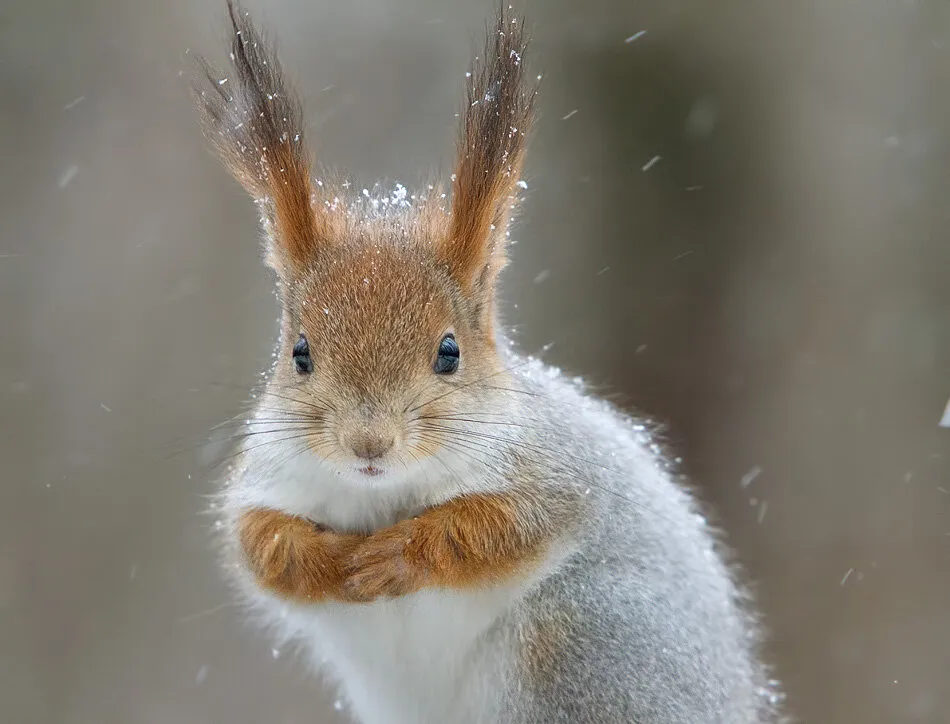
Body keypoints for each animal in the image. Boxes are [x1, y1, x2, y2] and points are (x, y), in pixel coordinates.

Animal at [195, 2, 788, 720]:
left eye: (449, 352)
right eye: (299, 354)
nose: (369, 443)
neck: (383, 494)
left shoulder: (556, 472)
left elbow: (501, 529)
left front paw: (399, 553)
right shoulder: (267, 478)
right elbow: (260, 545)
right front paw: (325, 562)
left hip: (583, 649)